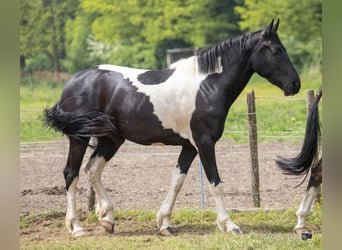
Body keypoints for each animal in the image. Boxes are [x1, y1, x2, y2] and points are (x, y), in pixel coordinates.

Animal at [44, 19, 300, 236]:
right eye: (276, 50)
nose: (295, 84)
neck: (207, 86)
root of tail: (73, 82)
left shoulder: (190, 146)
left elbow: (176, 182)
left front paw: (165, 223)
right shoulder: (205, 143)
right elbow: (215, 182)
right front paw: (229, 225)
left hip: (111, 139)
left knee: (93, 169)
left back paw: (107, 219)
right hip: (80, 138)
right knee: (72, 173)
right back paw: (77, 227)